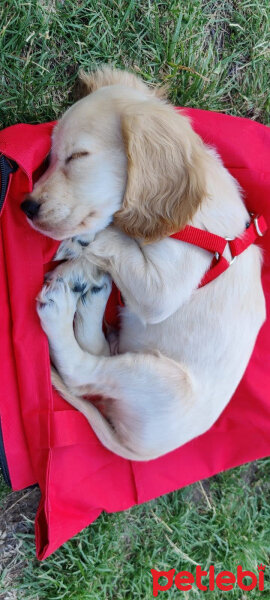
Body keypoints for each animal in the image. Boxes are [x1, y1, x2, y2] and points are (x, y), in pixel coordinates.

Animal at [21, 67, 266, 460]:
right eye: (51, 155)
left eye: (77, 156)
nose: (26, 207)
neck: (191, 222)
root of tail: (140, 450)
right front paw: (81, 262)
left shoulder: (164, 290)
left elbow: (114, 236)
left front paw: (78, 243)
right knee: (98, 353)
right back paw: (90, 295)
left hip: (162, 379)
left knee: (82, 371)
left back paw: (61, 308)